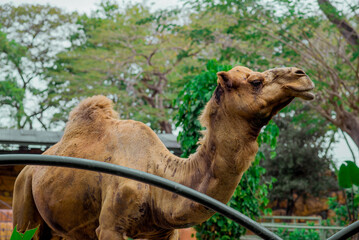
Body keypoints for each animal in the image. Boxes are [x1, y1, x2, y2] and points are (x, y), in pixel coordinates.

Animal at [11, 66, 316, 240]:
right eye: (255, 82)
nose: (302, 76)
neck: (159, 174)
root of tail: (28, 169)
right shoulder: (110, 227)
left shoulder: (165, 232)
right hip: (22, 208)